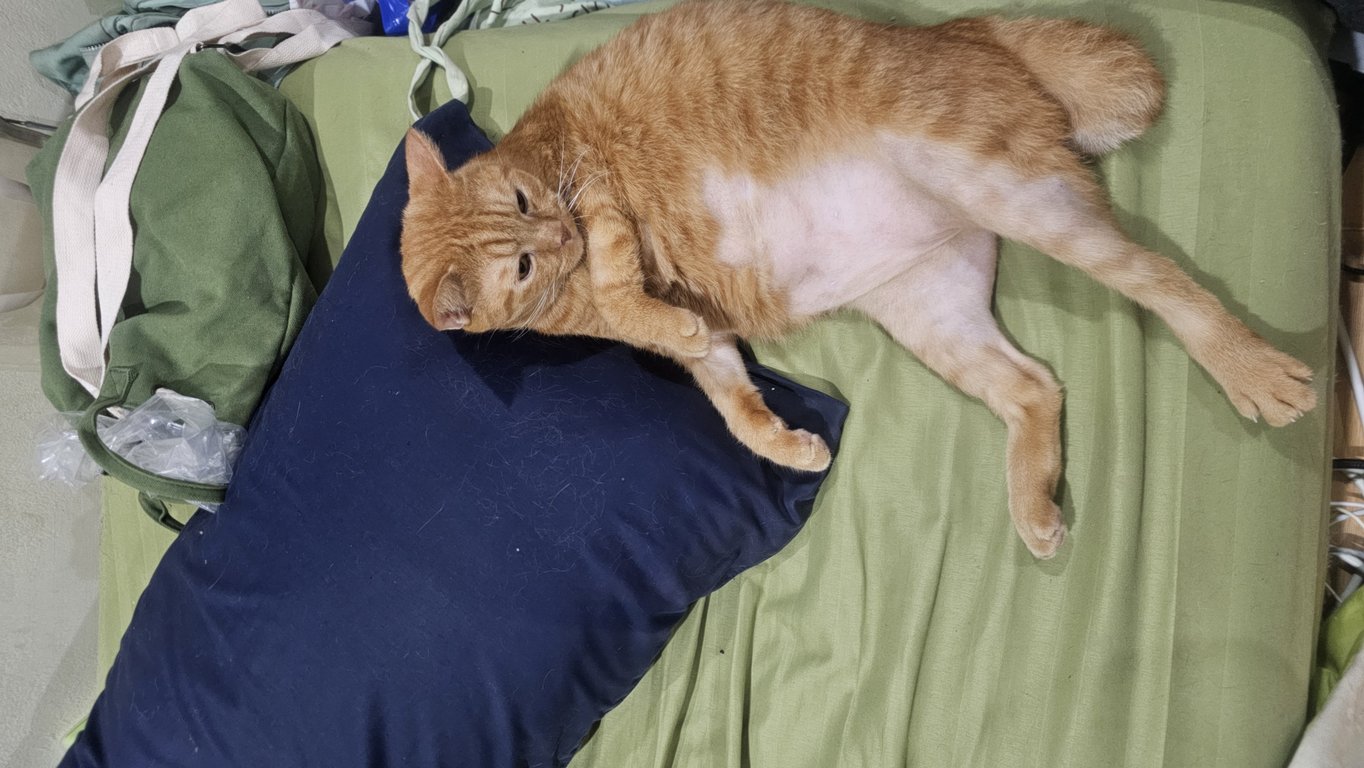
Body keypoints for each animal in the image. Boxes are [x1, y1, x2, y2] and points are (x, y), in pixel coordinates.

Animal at [399, 0, 1316, 559]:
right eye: (522, 261)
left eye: (526, 206)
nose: (555, 234)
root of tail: (966, 31)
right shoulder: (710, 342)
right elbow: (732, 403)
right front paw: (789, 447)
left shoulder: (597, 191)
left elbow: (631, 285)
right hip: (930, 310)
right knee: (1033, 385)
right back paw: (1035, 509)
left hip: (1018, 196)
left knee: (1164, 281)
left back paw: (1255, 374)